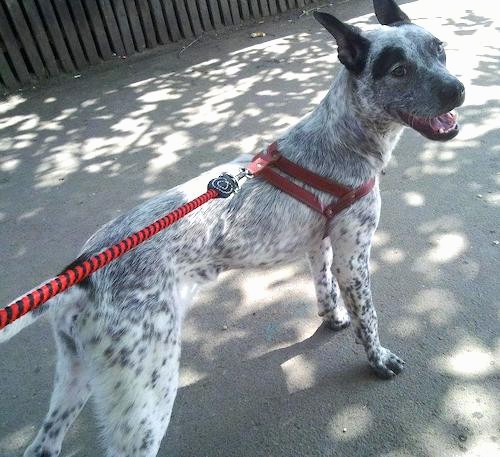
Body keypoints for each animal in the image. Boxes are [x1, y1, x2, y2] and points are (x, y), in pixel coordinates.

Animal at [0, 1, 464, 454]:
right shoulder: (354, 257)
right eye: (398, 70)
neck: (342, 138)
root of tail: (79, 275)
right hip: (146, 398)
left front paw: (333, 318)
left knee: (43, 444)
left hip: (75, 374)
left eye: (438, 49)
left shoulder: (321, 246)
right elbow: (368, 316)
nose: (458, 89)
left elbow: (325, 292)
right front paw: (378, 359)